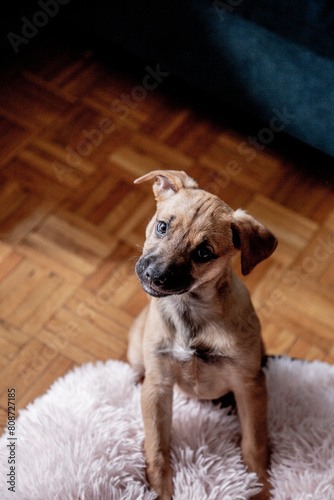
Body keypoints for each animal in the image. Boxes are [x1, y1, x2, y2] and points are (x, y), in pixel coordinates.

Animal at [126, 170, 278, 498]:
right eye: (162, 226)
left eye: (203, 253)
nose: (154, 275)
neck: (190, 312)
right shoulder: (158, 385)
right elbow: (157, 446)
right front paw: (160, 490)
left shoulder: (249, 384)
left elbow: (254, 442)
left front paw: (258, 486)